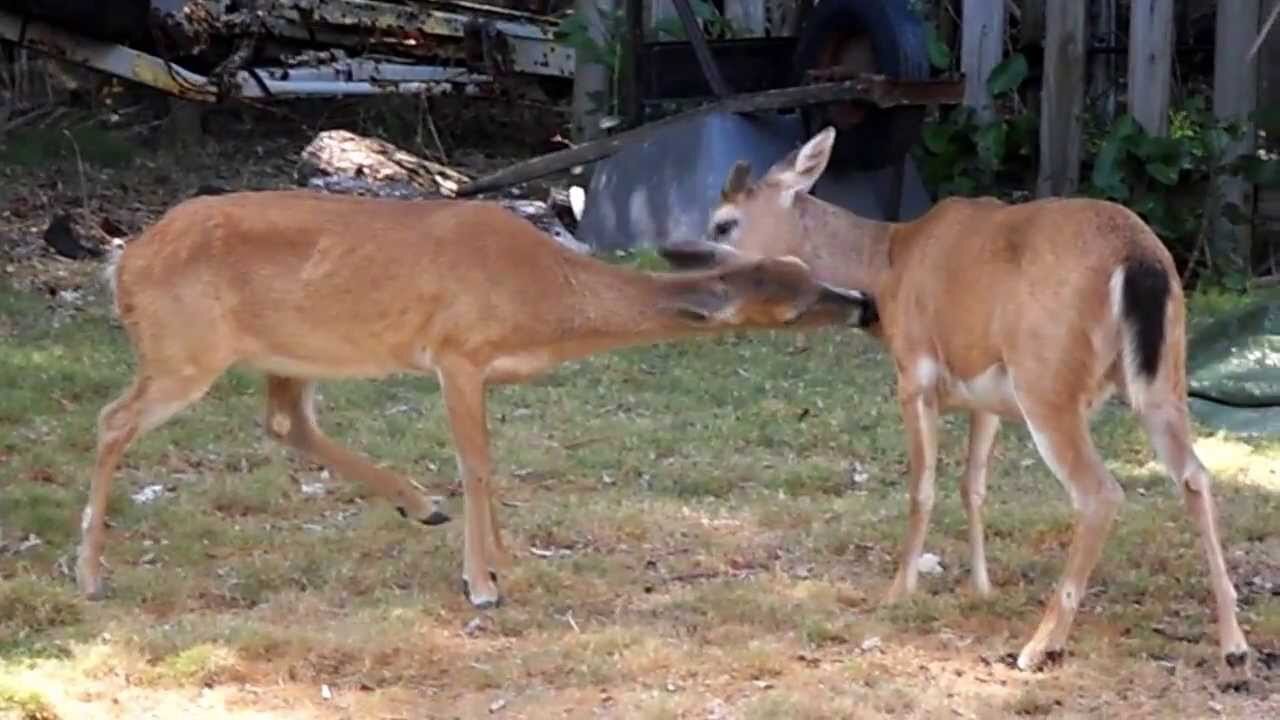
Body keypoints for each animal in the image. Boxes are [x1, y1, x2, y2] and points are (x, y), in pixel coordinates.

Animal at [72, 188, 870, 607]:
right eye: (793, 304)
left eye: (804, 270)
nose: (861, 304)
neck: (548, 299)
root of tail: (124, 265)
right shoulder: (457, 352)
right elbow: (478, 463)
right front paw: (482, 581)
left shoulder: (475, 368)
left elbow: (489, 465)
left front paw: (502, 560)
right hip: (184, 350)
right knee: (112, 420)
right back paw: (89, 575)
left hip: (283, 353)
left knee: (284, 421)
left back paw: (420, 505)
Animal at [665, 126, 1254, 686]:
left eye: (723, 223)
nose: (688, 270)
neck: (886, 266)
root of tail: (1141, 258)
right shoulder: (985, 398)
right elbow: (973, 486)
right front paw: (982, 586)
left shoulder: (915, 374)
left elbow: (921, 489)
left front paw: (898, 590)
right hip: (1163, 377)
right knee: (1195, 476)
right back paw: (1234, 645)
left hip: (1049, 381)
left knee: (1100, 493)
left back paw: (1041, 646)